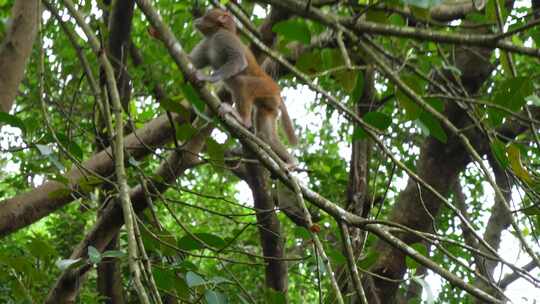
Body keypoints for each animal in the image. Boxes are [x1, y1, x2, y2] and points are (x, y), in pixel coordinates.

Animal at [189, 7, 300, 169]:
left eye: (206, 15)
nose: (197, 20)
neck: (215, 33)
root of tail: (278, 92)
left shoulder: (224, 38)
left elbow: (239, 61)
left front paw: (209, 78)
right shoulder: (206, 43)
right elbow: (190, 60)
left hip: (266, 88)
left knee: (243, 84)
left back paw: (243, 120)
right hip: (269, 105)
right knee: (267, 135)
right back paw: (291, 161)